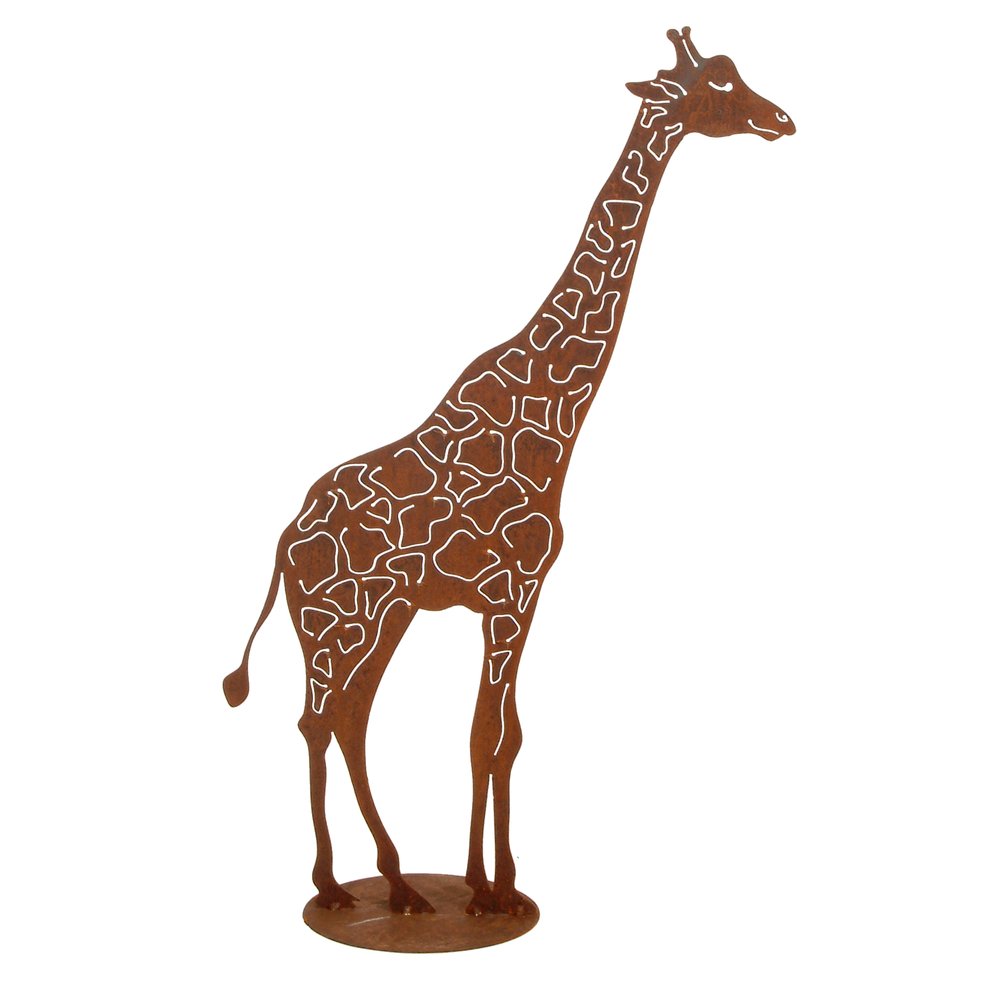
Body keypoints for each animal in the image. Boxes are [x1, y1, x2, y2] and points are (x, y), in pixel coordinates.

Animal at [224, 27, 794, 917]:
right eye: (718, 90)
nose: (783, 120)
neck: (552, 414)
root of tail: (284, 541)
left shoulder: (522, 598)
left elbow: (508, 737)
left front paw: (497, 881)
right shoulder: (510, 592)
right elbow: (483, 735)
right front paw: (485, 890)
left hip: (384, 618)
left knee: (349, 718)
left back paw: (400, 883)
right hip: (334, 622)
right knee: (318, 720)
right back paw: (339, 886)